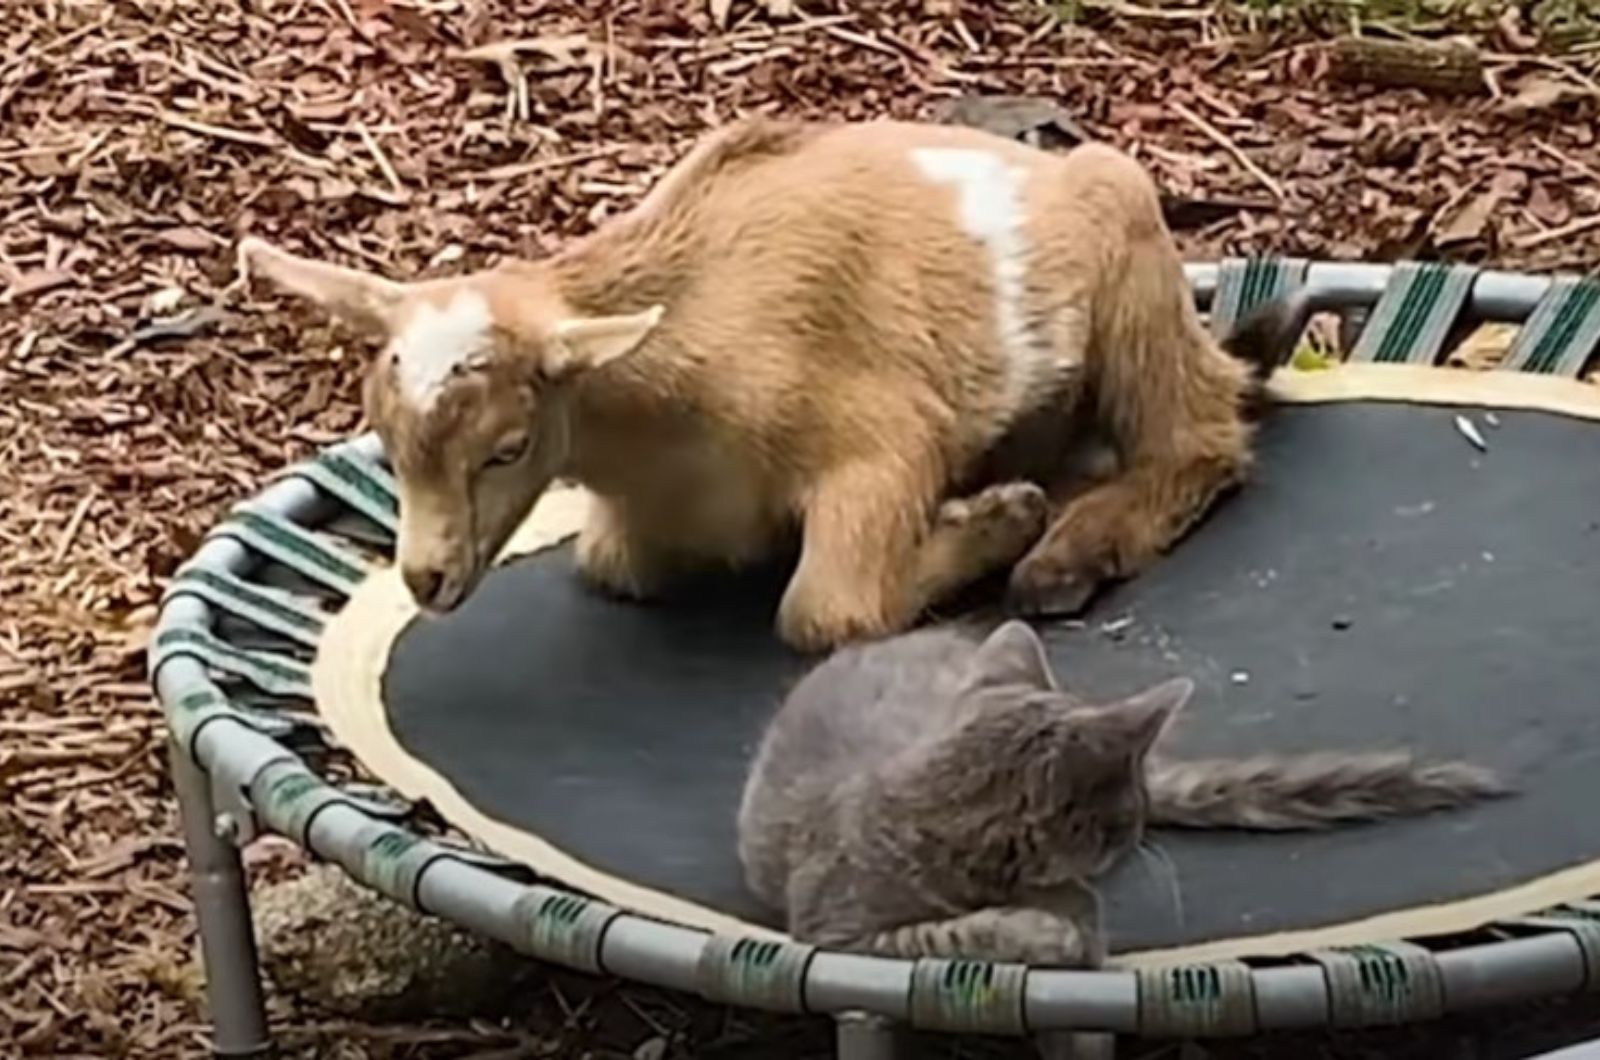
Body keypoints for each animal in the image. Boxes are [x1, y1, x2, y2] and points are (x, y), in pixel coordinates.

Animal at [236, 114, 1286, 646]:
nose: (427, 577)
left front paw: (999, 518)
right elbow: (612, 566)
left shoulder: (883, 448)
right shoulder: (631, 529)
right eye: (386, 440)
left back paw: (1062, 555)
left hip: (1130, 252)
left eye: (507, 447)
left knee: (1203, 437)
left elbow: (825, 612)